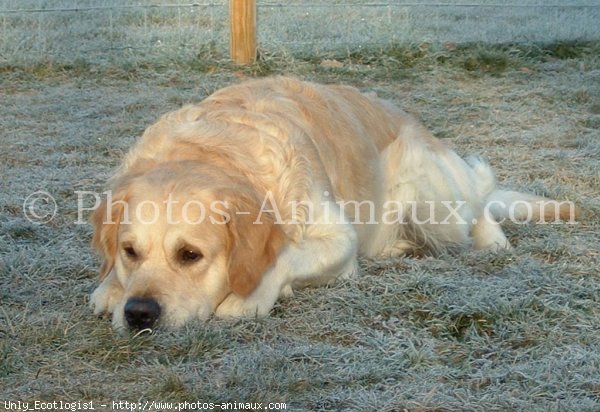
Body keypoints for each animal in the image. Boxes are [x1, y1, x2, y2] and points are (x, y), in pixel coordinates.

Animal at [89, 76, 572, 332]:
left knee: (480, 203)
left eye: (190, 255)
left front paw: (250, 297)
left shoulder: (339, 238)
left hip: (432, 202)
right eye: (130, 252)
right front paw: (110, 288)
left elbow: (284, 255)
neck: (216, 153)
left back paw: (493, 241)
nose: (139, 314)